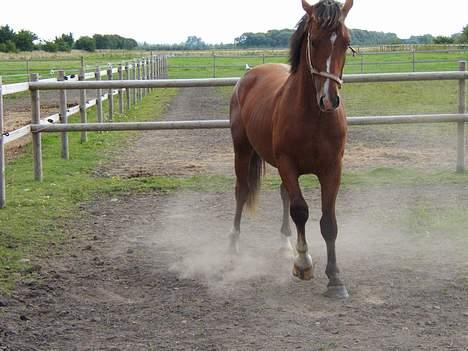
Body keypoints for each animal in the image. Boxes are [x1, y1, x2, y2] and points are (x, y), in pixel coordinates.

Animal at [229, 0, 352, 300]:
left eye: (346, 42)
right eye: (314, 40)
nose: (329, 99)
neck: (313, 116)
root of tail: (248, 76)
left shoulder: (333, 169)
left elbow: (328, 222)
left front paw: (335, 279)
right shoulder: (288, 164)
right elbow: (300, 211)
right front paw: (303, 263)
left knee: (283, 193)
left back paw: (285, 244)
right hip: (243, 150)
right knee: (241, 192)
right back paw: (234, 245)